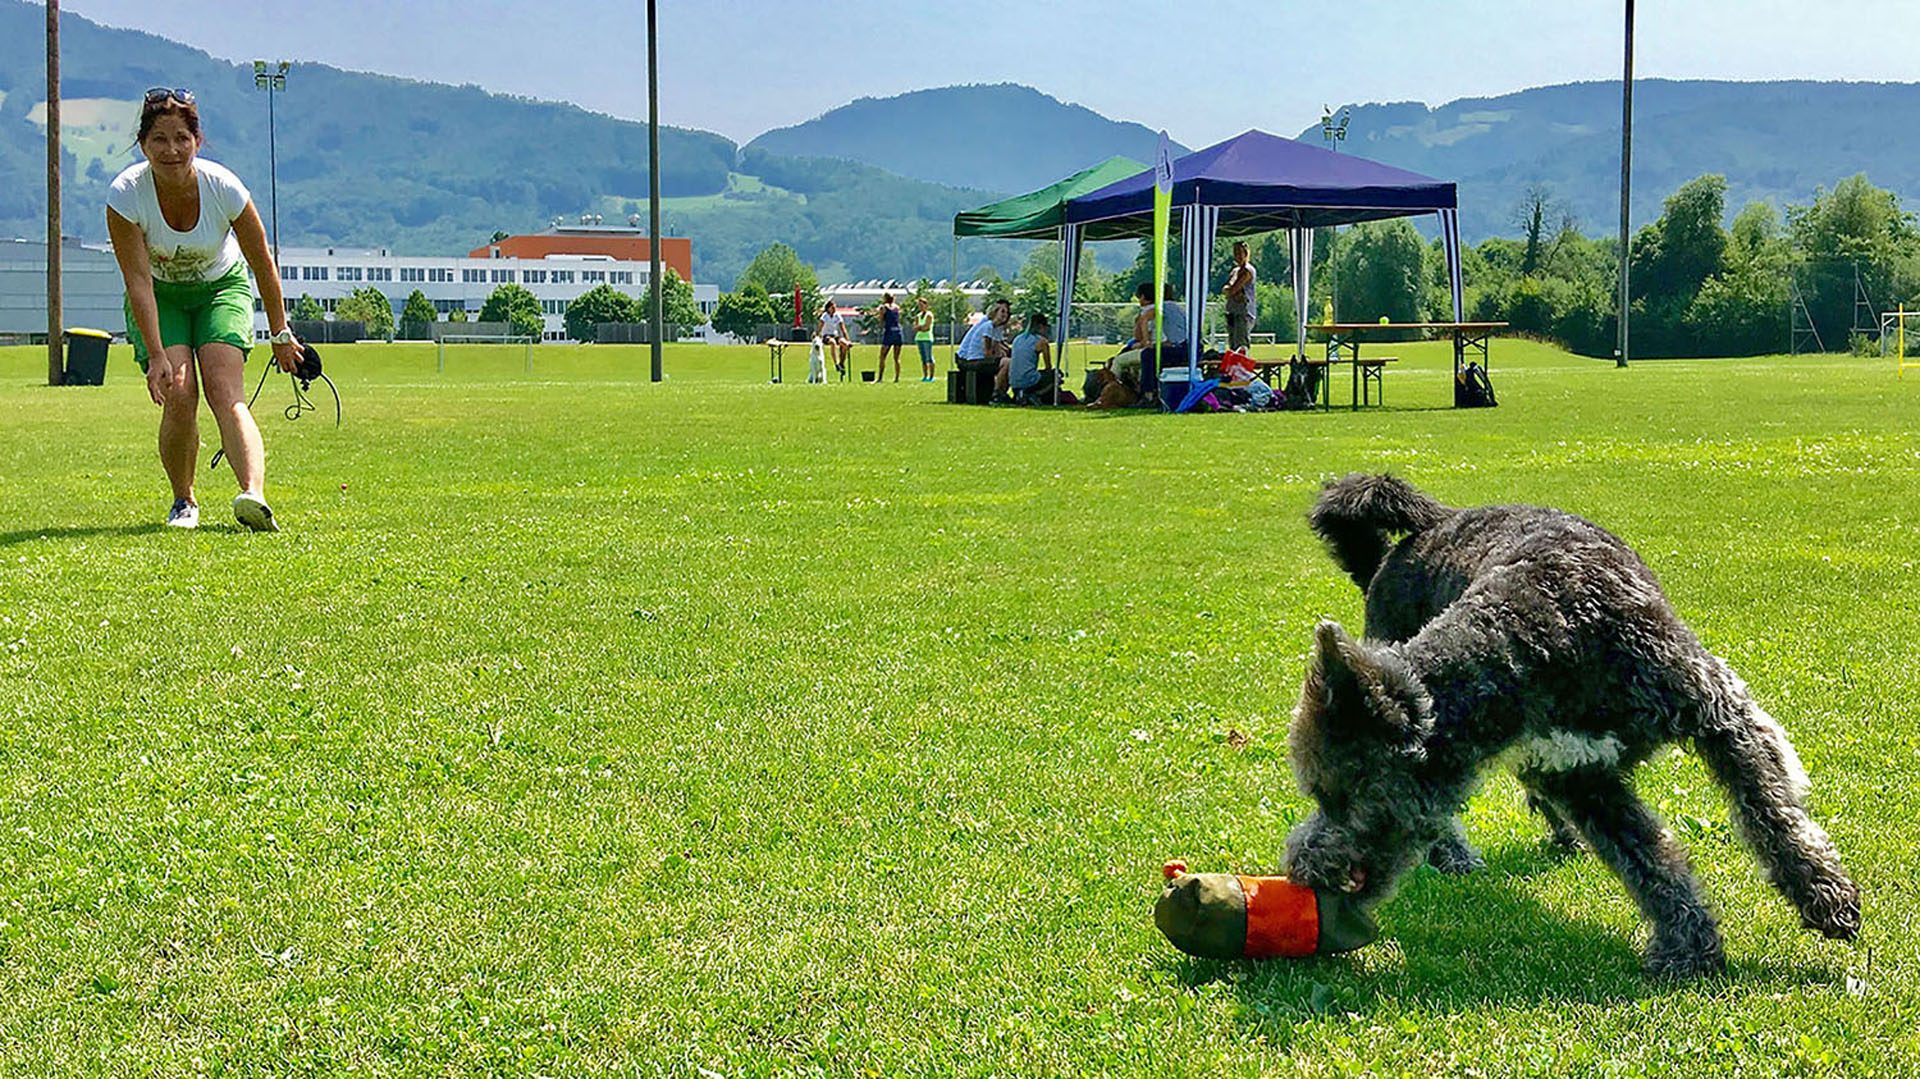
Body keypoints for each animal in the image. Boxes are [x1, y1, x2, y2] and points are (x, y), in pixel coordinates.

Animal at [1290, 470, 1858, 975]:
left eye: (1335, 795)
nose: (1299, 873)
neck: (1539, 633)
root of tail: (1387, 557)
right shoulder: (1581, 778)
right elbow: (1649, 862)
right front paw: (1688, 944)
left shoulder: (1719, 714)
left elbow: (1771, 812)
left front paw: (1823, 891)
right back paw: (1457, 854)